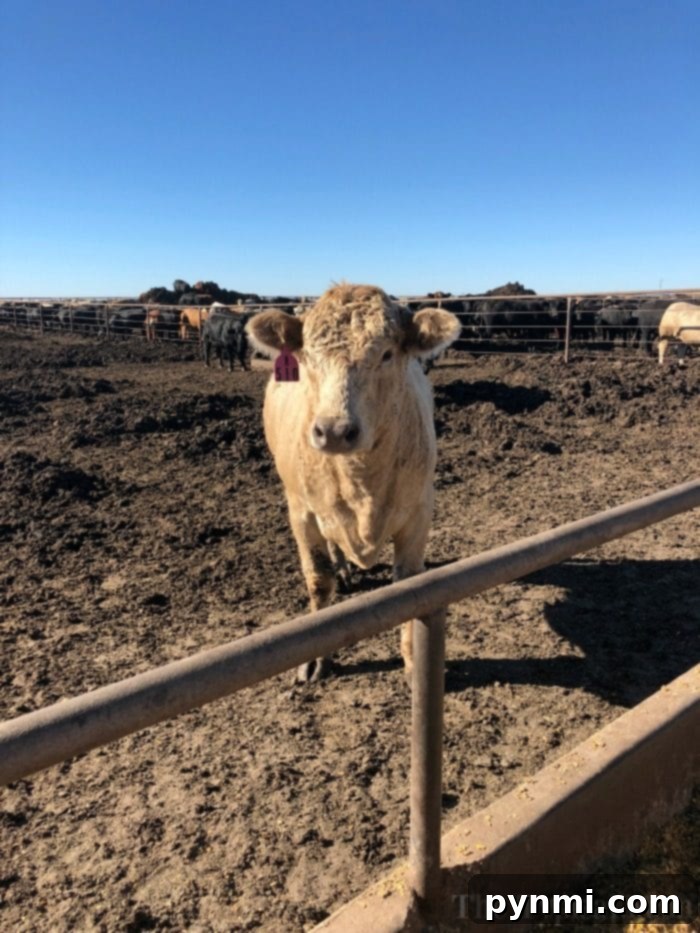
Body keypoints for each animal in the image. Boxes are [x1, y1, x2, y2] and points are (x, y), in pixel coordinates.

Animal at [246, 283, 461, 683]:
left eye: (387, 354)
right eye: (307, 357)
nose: (333, 430)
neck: (361, 483)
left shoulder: (419, 511)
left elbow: (408, 585)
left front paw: (413, 659)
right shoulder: (300, 511)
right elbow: (319, 580)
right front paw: (315, 659)